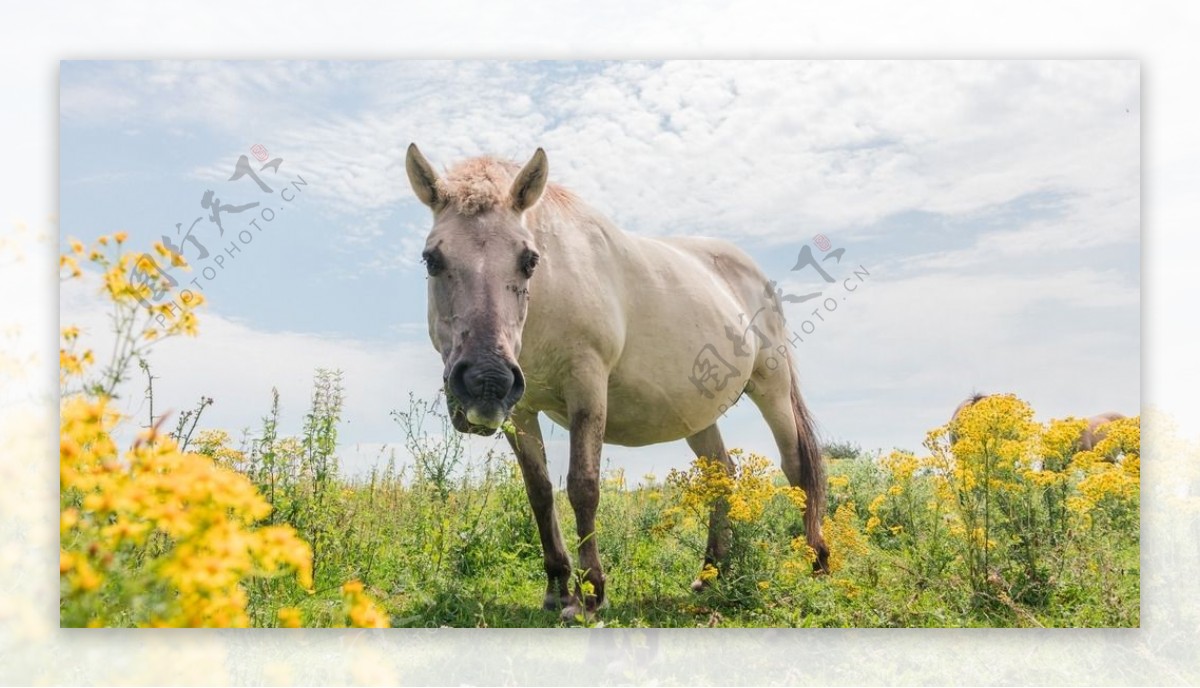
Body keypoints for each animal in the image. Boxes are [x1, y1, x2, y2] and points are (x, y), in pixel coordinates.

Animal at [403, 144, 825, 614]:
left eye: (529, 260)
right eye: (432, 259)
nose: (486, 381)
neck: (549, 299)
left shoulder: (587, 387)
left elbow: (583, 486)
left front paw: (590, 594)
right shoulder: (521, 412)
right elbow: (540, 492)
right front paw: (557, 587)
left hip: (773, 388)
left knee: (797, 466)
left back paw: (814, 563)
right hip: (699, 416)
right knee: (722, 476)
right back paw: (712, 573)